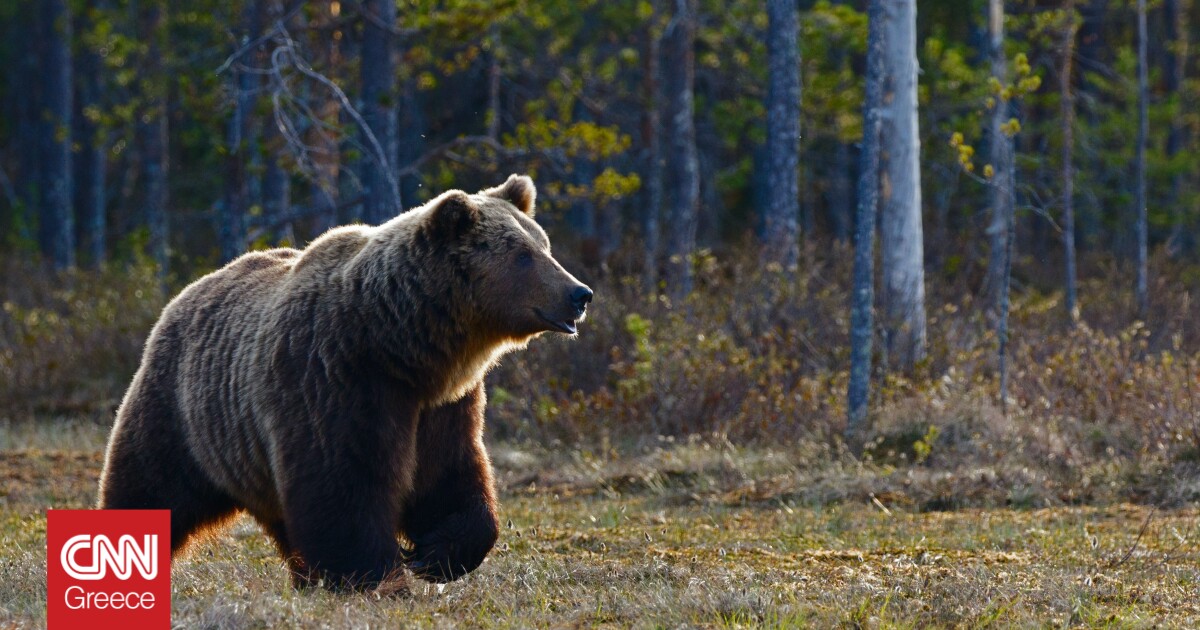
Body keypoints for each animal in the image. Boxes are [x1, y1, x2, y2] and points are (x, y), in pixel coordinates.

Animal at [96, 175, 592, 590]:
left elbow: (450, 475)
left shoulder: (443, 405)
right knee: (148, 486)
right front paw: (376, 576)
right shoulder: (335, 379)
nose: (579, 293)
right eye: (522, 255)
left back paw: (305, 577)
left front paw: (435, 554)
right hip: (182, 412)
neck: (402, 346)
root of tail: (186, 293)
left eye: (544, 245)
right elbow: (343, 485)